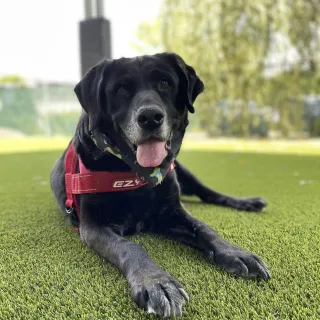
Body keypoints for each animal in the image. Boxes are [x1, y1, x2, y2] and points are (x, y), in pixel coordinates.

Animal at [50, 52, 270, 318]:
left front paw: (235, 252)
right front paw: (156, 283)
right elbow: (130, 247)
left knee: (207, 193)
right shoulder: (93, 227)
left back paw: (247, 202)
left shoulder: (173, 211)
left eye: (165, 83)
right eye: (120, 90)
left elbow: (205, 228)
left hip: (181, 169)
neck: (134, 174)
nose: (150, 117)